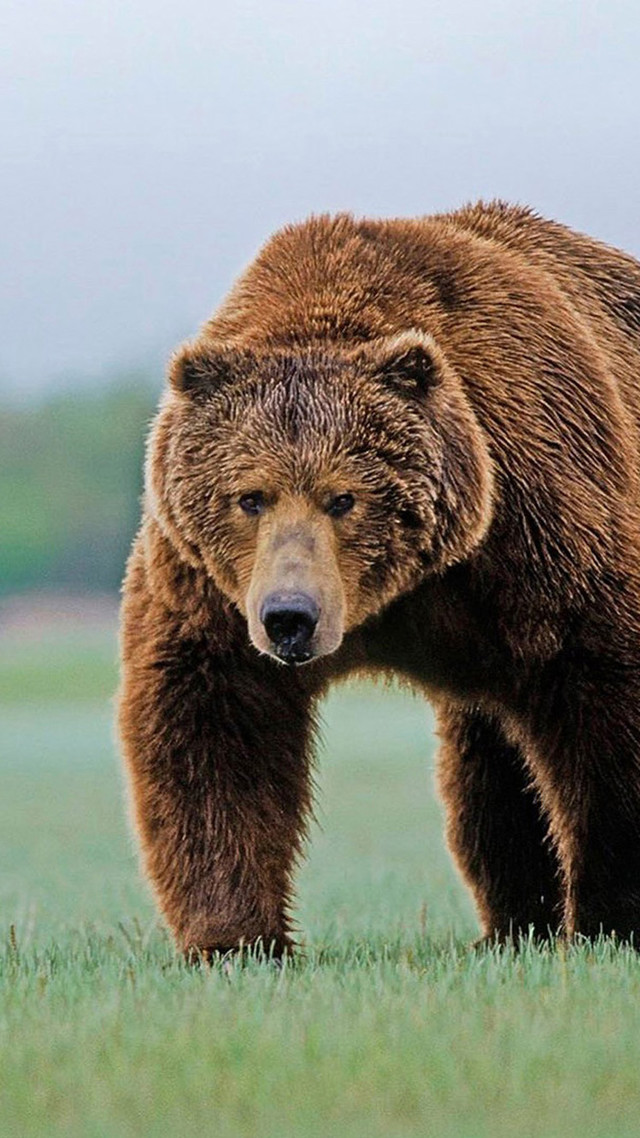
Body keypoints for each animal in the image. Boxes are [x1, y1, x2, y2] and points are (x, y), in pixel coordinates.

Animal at [119, 201, 640, 958]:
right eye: (251, 496)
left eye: (344, 497)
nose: (290, 617)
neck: (394, 598)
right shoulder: (209, 588)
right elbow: (212, 721)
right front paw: (237, 938)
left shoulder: (537, 528)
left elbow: (602, 697)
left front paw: (610, 920)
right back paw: (512, 927)